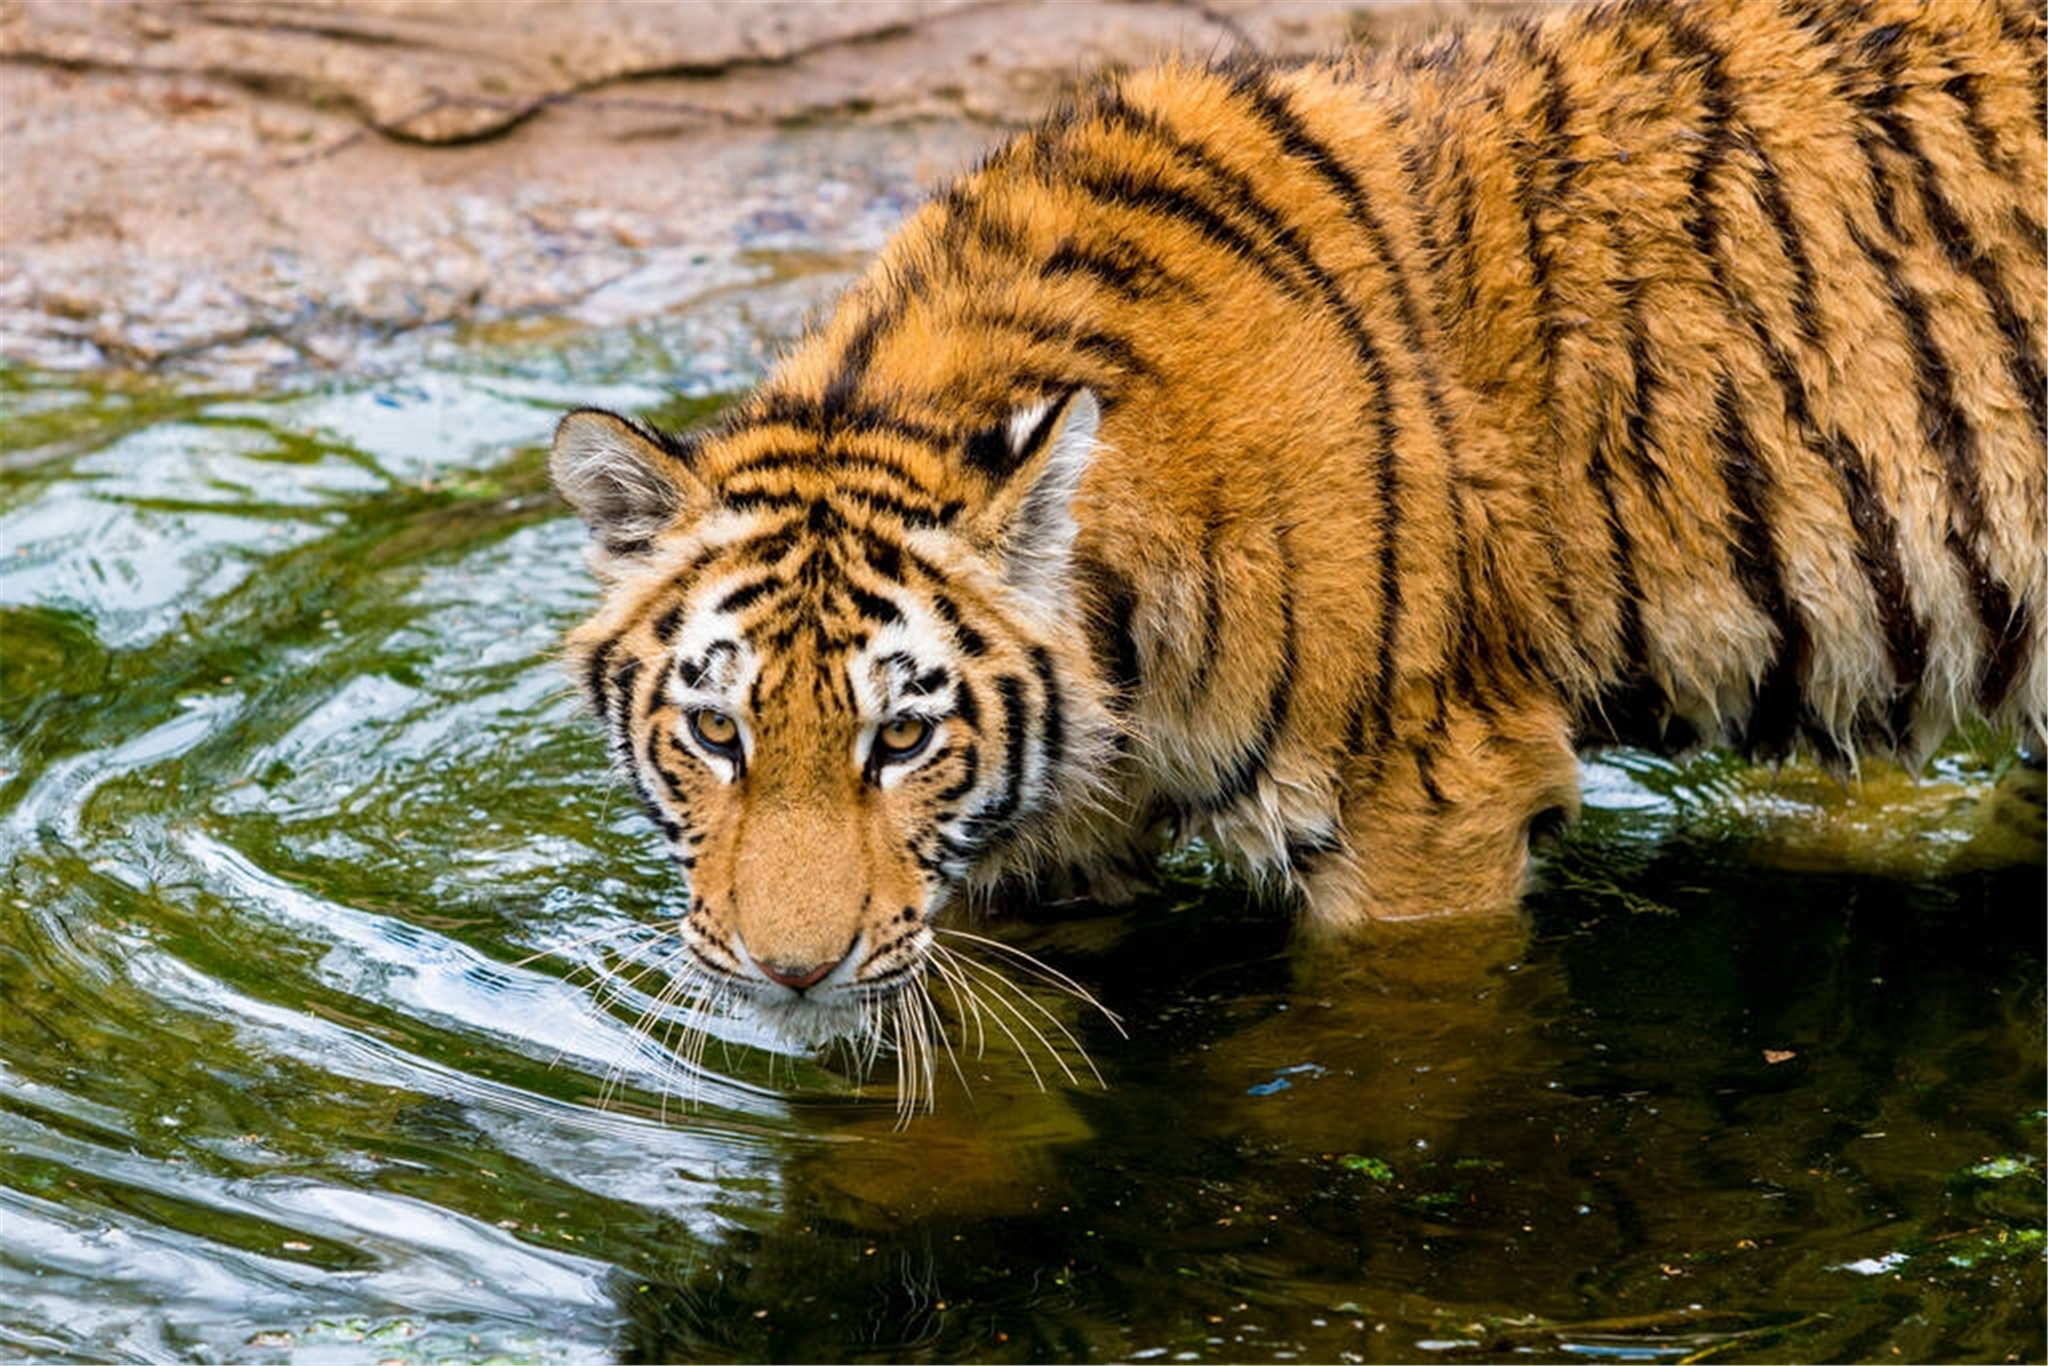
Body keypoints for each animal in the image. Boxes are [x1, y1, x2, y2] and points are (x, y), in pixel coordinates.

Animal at [544, 0, 2048, 1089]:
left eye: (899, 739)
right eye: (719, 731)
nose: (787, 972)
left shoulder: (1429, 802)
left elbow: (1386, 1054)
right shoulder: (1029, 861)